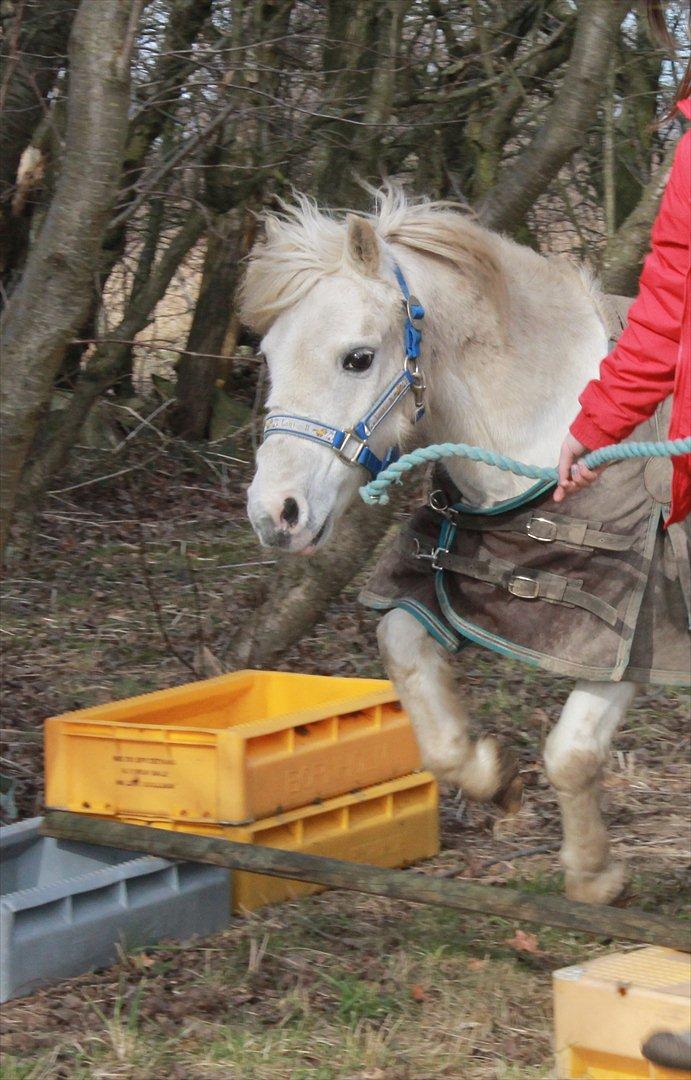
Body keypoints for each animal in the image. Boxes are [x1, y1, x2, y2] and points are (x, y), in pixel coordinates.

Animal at [241, 190, 647, 907]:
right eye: (268, 355)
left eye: (357, 357)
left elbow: (570, 754)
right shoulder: (443, 588)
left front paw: (595, 877)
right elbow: (412, 676)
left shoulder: (630, 631)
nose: (275, 514)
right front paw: (494, 774)